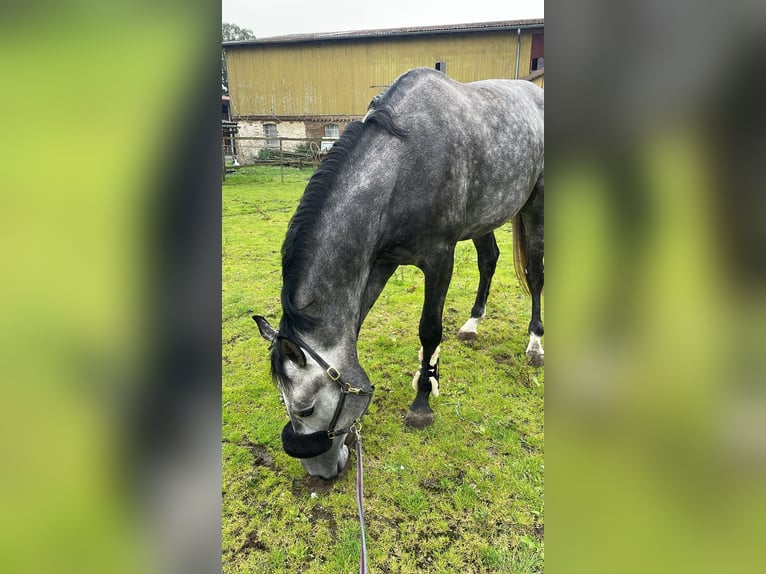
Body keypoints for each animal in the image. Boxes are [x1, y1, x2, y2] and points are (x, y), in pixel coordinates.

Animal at [254, 67, 544, 479]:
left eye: (306, 409)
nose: (319, 472)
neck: (403, 166)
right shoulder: (380, 261)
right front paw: (429, 375)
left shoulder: (439, 258)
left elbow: (430, 330)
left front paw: (422, 401)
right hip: (484, 218)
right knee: (489, 260)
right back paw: (472, 324)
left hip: (536, 204)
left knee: (535, 271)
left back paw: (535, 343)